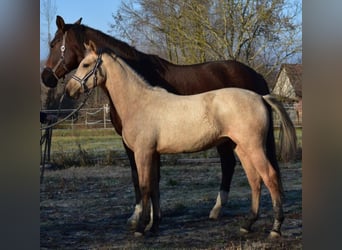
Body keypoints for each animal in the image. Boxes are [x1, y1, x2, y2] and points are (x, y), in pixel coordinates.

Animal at [41, 15, 288, 227]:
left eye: (54, 44)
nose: (48, 78)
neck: (139, 97)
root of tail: (259, 85)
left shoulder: (138, 147)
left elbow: (141, 179)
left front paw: (140, 217)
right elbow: (151, 179)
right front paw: (153, 216)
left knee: (249, 170)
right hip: (234, 142)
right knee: (242, 170)